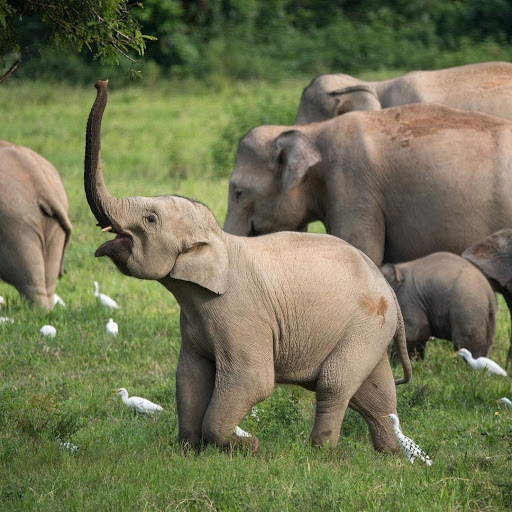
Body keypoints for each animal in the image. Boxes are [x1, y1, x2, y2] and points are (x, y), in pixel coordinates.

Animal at [84, 81, 412, 456]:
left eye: (150, 219)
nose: (102, 83)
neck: (221, 242)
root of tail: (389, 291)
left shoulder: (240, 314)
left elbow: (253, 380)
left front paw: (248, 447)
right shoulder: (193, 318)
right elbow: (189, 377)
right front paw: (188, 451)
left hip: (365, 326)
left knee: (334, 384)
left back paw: (321, 453)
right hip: (372, 331)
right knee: (375, 395)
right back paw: (389, 456)